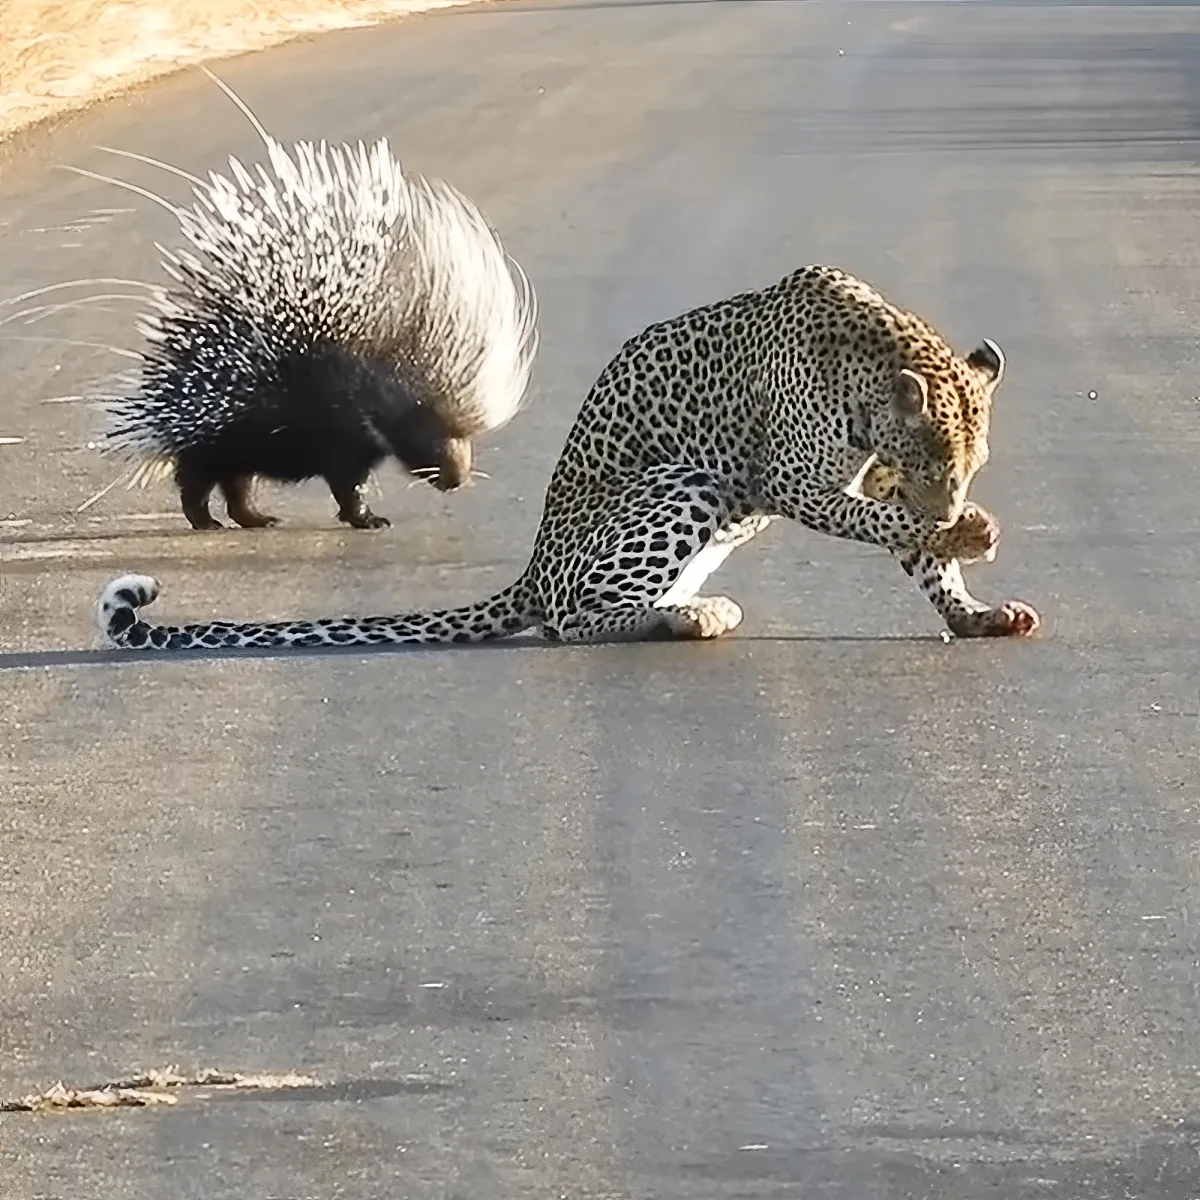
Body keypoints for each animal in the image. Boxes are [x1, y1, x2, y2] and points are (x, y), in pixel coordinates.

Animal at [94, 264, 1041, 652]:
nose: (953, 500)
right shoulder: (791, 477)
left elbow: (911, 548)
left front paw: (972, 609)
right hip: (682, 479)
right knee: (570, 620)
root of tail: (531, 569)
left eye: (971, 461)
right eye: (937, 458)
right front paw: (965, 538)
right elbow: (873, 519)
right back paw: (689, 618)